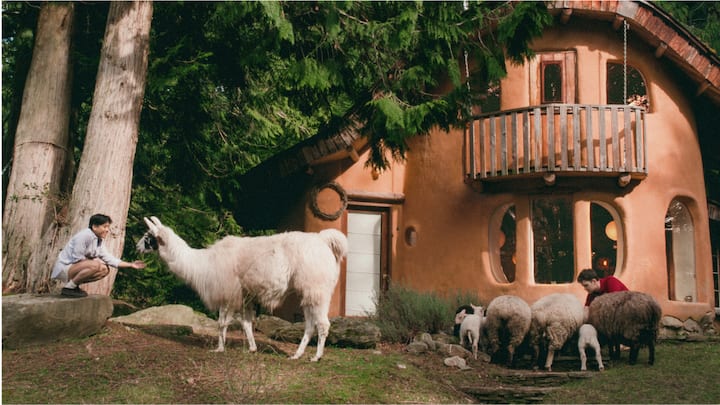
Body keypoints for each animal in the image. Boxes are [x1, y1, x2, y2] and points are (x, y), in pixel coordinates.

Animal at [138, 215, 348, 360]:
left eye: (148, 237)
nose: (137, 246)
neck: (203, 264)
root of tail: (323, 240)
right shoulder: (245, 295)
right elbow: (246, 323)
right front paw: (252, 348)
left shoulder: (227, 292)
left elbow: (221, 323)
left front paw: (219, 348)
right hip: (310, 291)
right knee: (310, 325)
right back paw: (296, 355)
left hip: (317, 288)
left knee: (323, 324)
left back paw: (316, 357)